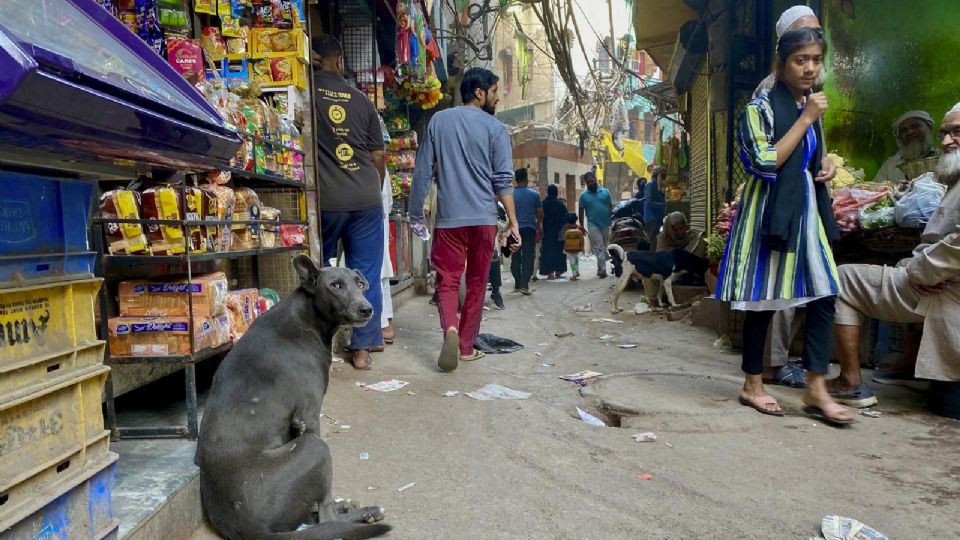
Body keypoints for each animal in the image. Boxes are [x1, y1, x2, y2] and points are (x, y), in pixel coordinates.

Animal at [197, 258, 392, 540]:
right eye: (335, 286)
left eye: (359, 283)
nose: (367, 309)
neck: (308, 317)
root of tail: (248, 528)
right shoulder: (308, 416)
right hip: (314, 448)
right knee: (327, 517)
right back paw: (361, 513)